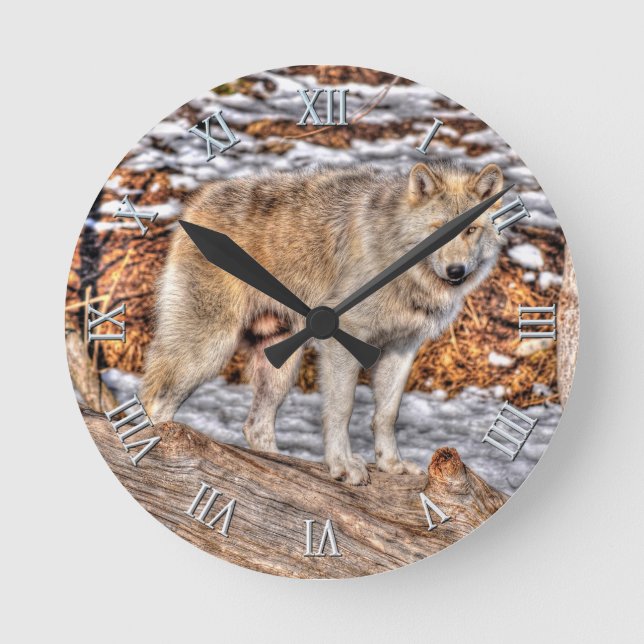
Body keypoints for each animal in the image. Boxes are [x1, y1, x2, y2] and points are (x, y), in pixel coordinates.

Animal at [141, 159, 505, 485]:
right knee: (154, 403)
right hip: (209, 352)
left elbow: (387, 414)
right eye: (438, 230)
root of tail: (197, 202)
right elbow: (341, 409)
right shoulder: (341, 343)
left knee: (255, 427)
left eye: (471, 229)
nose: (456, 271)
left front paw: (391, 466)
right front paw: (342, 465)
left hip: (281, 365)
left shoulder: (402, 348)